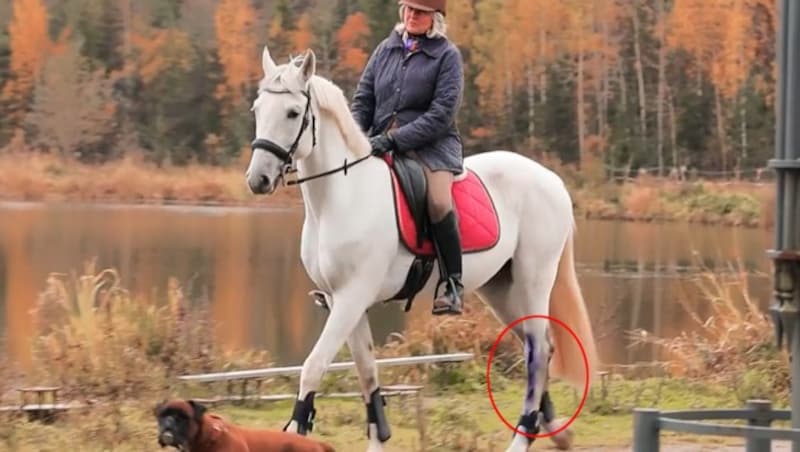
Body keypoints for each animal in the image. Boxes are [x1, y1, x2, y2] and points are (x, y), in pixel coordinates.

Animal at [245, 43, 600, 452]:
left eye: (292, 112)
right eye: (257, 110)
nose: (258, 180)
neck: (341, 196)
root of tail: (552, 180)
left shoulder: (352, 297)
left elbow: (313, 367)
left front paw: (296, 430)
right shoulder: (341, 301)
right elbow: (368, 375)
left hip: (533, 279)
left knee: (539, 350)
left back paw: (523, 438)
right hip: (500, 289)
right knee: (532, 346)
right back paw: (557, 430)